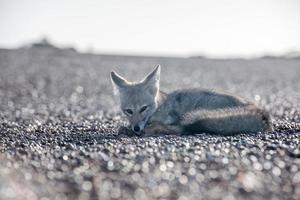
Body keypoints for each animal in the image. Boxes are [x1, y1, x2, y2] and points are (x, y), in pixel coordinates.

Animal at [110, 65, 272, 136]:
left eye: (144, 108)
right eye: (128, 111)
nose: (136, 128)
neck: (160, 105)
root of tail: (259, 110)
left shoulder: (170, 118)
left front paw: (136, 129)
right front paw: (129, 128)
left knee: (180, 130)